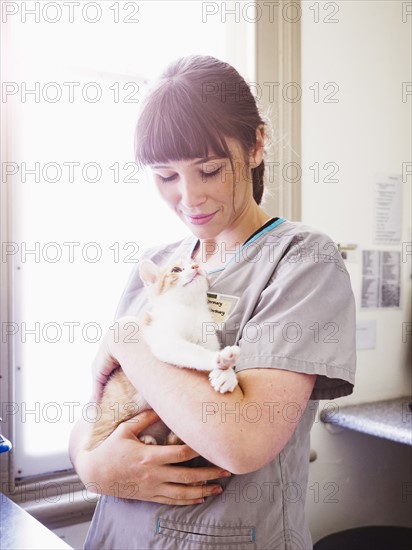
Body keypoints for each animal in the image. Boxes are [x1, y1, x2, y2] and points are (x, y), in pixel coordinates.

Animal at [88, 258, 240, 452]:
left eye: (197, 265)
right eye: (176, 269)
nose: (196, 267)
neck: (191, 309)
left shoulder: (208, 339)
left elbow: (207, 349)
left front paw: (226, 375)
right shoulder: (164, 339)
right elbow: (194, 352)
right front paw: (220, 360)